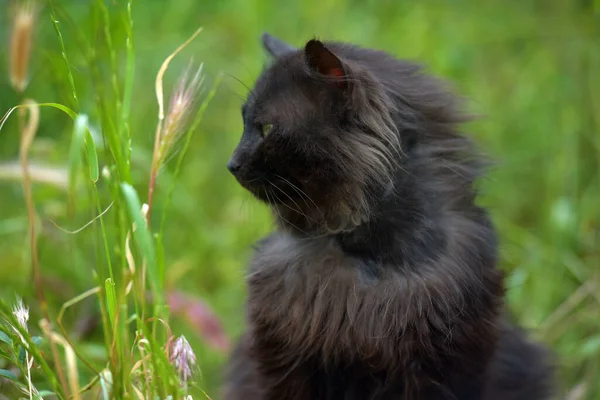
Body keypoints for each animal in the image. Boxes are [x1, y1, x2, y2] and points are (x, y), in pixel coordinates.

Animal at [223, 32, 556, 398]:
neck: (368, 262)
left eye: (266, 128)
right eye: (243, 123)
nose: (231, 164)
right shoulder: (282, 358)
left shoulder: (444, 366)